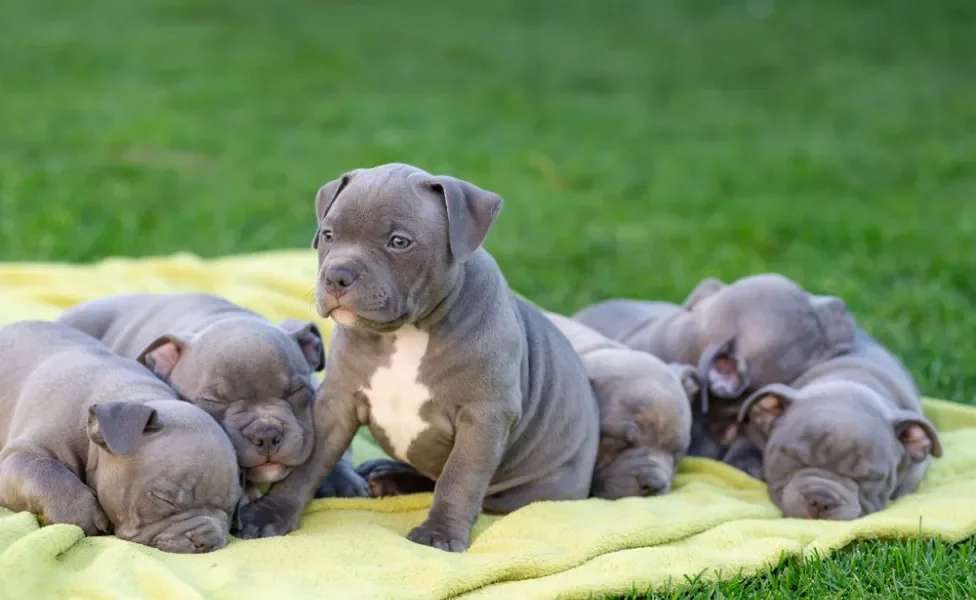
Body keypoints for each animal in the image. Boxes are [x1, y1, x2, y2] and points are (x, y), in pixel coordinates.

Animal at [0, 318, 242, 552]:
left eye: (231, 508)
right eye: (164, 499)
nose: (207, 539)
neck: (137, 395)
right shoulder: (17, 457)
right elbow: (46, 471)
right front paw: (77, 512)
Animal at [237, 162, 604, 552]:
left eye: (399, 242)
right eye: (328, 235)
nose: (336, 276)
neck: (406, 333)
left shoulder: (484, 416)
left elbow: (460, 477)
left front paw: (439, 534)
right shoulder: (335, 402)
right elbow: (307, 464)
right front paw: (270, 513)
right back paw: (388, 476)